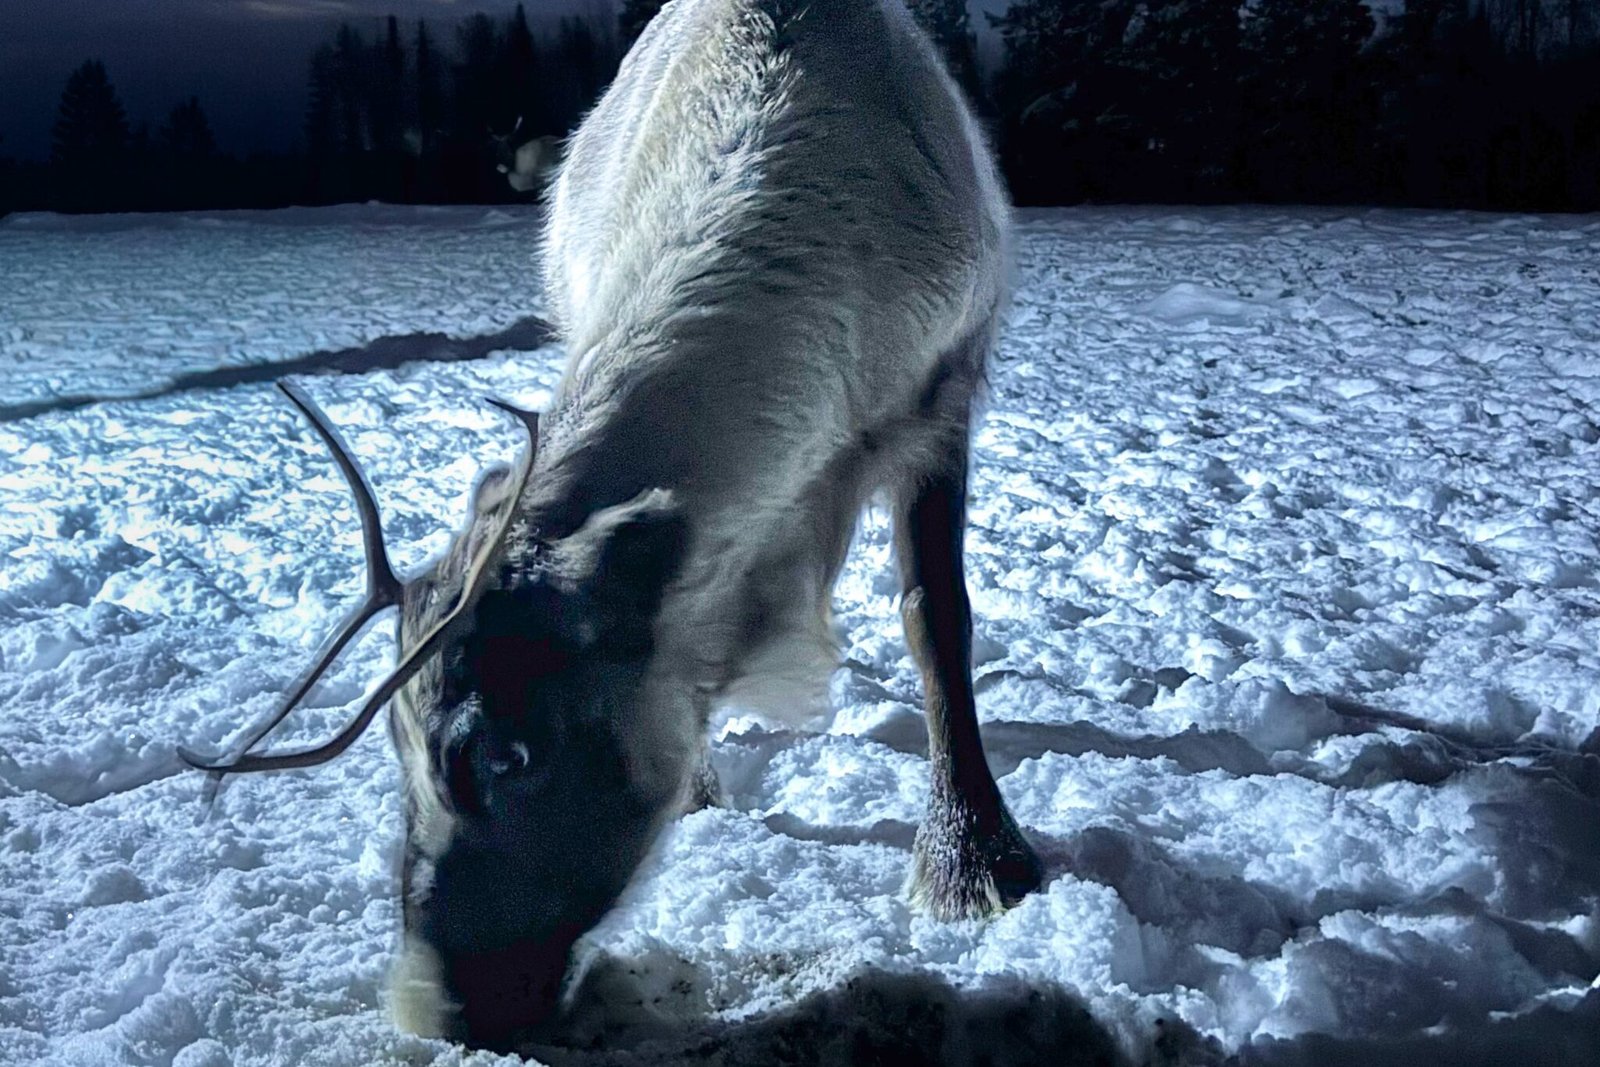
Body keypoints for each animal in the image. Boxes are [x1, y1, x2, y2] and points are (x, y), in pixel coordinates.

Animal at [181, 0, 1044, 1051]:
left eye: (508, 752)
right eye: (397, 749)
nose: (434, 1008)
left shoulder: (945, 385)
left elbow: (937, 619)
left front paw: (975, 861)